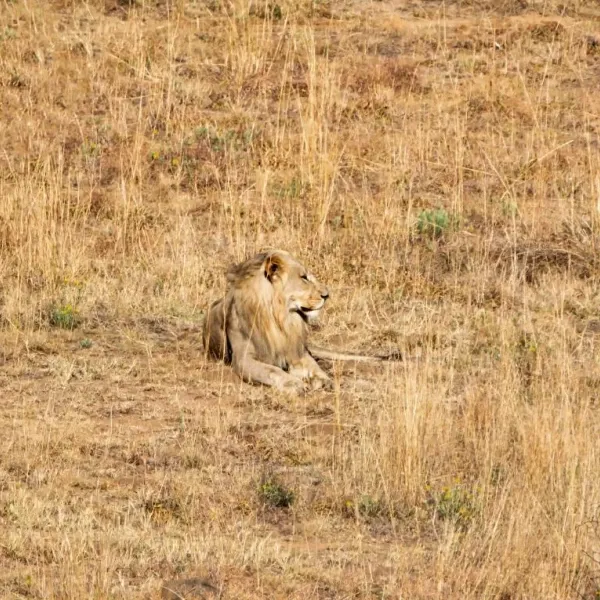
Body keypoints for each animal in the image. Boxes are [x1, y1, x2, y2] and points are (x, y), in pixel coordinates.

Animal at [202, 248, 398, 394]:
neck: (280, 318)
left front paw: (323, 380)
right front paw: (293, 383)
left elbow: (313, 365)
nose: (327, 295)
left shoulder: (296, 351)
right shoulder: (243, 359)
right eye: (304, 278)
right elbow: (272, 370)